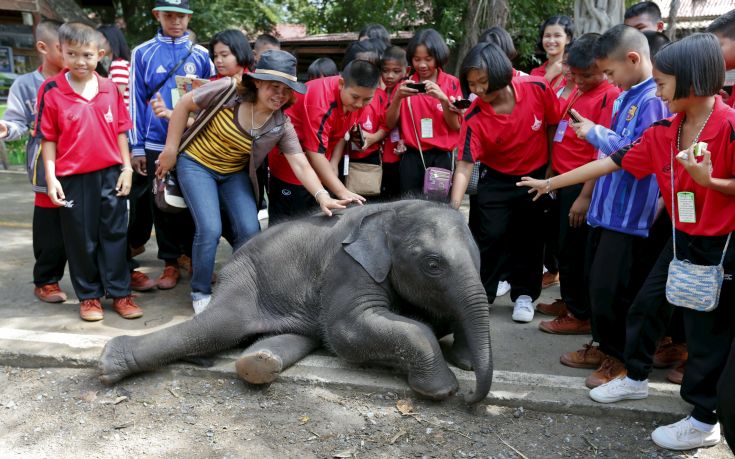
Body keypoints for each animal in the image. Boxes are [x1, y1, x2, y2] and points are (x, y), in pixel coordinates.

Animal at [99, 201, 494, 402]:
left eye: (480, 260)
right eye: (433, 265)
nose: (471, 399)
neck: (392, 213)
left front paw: (464, 362)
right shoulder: (346, 266)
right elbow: (347, 332)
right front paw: (443, 390)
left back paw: (258, 363)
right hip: (245, 279)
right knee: (220, 326)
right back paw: (109, 365)